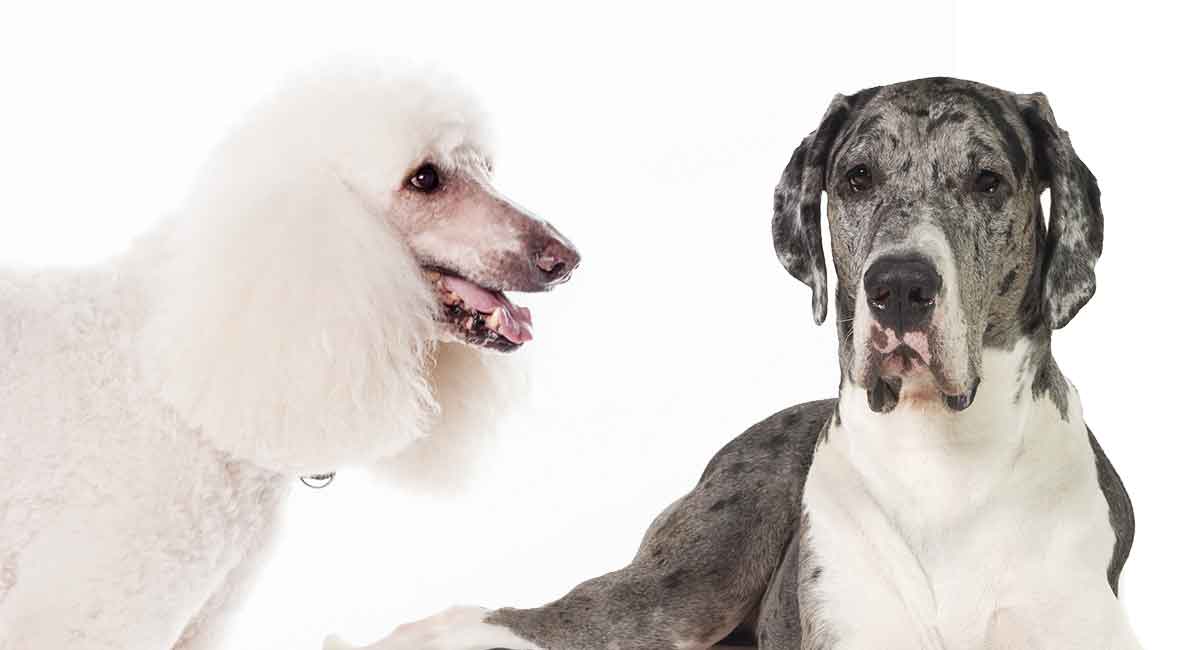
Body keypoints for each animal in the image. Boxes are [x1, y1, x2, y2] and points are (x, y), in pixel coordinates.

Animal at [333, 77, 1137, 650]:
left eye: (988, 182)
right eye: (857, 178)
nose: (900, 287)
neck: (944, 464)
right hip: (698, 571)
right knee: (553, 617)